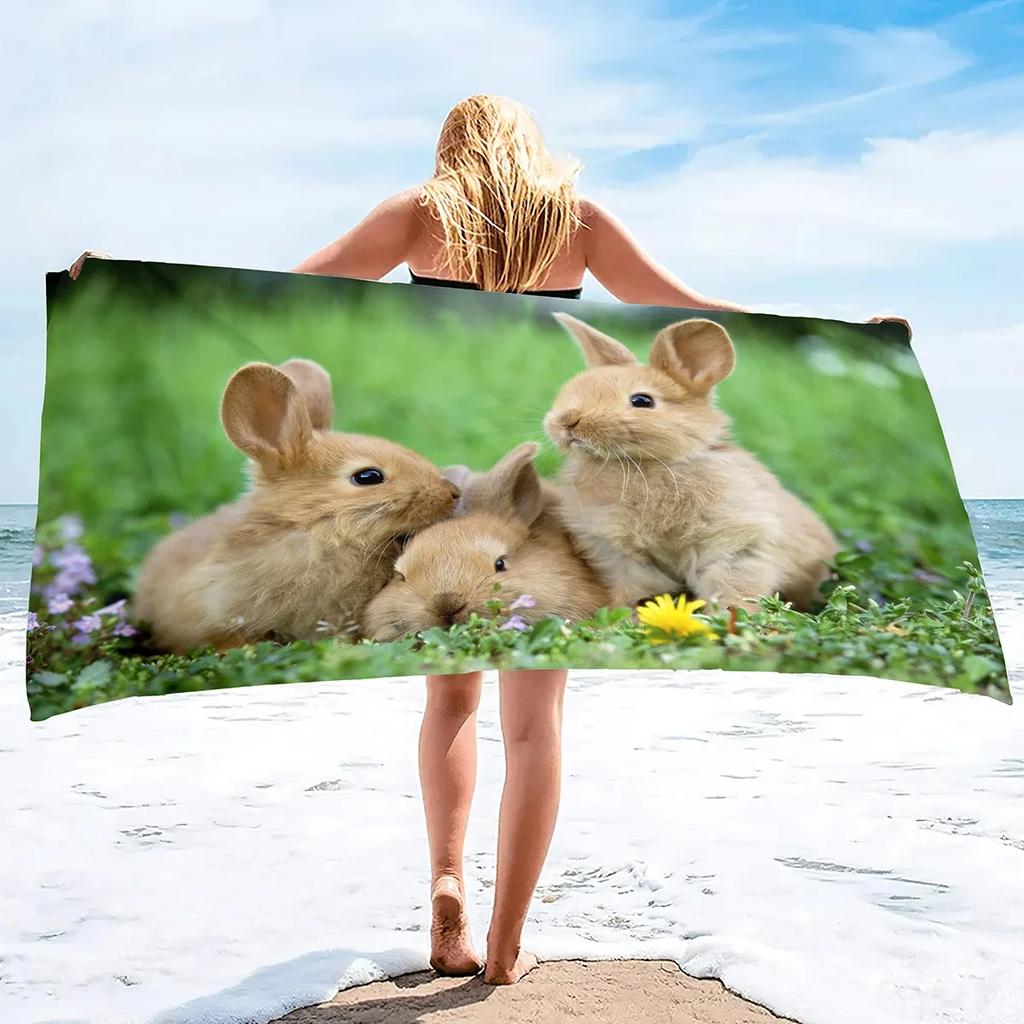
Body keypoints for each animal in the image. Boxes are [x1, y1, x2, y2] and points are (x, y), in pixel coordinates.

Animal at [543, 313, 838, 611]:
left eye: (642, 400)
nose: (566, 420)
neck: (646, 464)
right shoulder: (619, 555)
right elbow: (637, 589)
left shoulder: (735, 543)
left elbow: (732, 586)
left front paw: (732, 615)